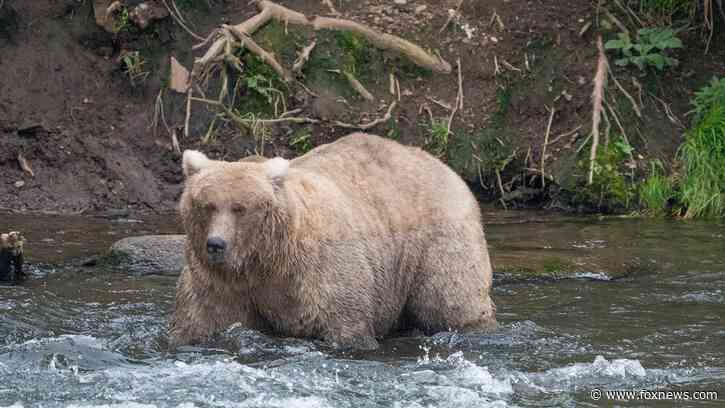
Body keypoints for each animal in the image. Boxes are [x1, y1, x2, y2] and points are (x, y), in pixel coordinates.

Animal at [169, 133, 495, 349]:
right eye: (206, 205)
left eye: (240, 208)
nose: (216, 244)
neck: (265, 260)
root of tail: (444, 166)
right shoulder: (220, 282)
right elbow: (201, 320)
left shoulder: (320, 271)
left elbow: (345, 323)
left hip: (437, 241)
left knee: (450, 299)